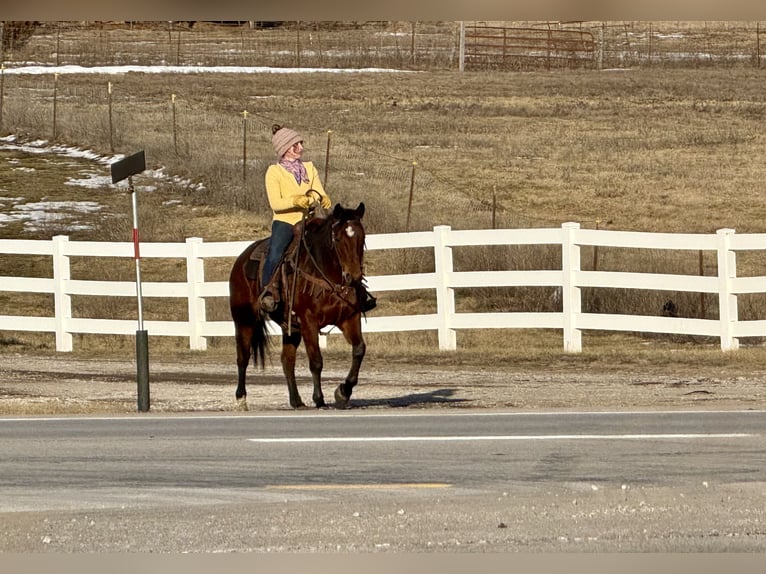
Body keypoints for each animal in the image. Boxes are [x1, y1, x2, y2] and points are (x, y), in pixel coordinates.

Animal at [228, 202, 368, 410]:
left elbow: (359, 349)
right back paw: (241, 399)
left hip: (290, 326)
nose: (354, 277)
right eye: (338, 238)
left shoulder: (349, 317)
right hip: (244, 319)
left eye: (362, 236)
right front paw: (319, 398)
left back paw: (296, 400)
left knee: (287, 360)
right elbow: (316, 360)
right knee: (243, 357)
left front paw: (343, 392)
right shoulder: (308, 321)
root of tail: (241, 260)